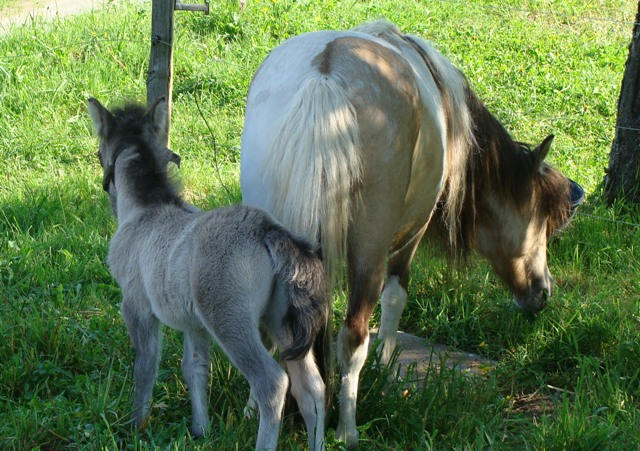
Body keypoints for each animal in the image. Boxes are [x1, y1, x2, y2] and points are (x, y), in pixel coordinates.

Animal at [239, 21, 580, 448]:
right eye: (543, 220)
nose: (543, 292)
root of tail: (325, 76)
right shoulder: (411, 236)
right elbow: (395, 296)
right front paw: (385, 363)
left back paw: (256, 407)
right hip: (367, 256)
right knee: (352, 338)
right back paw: (347, 429)